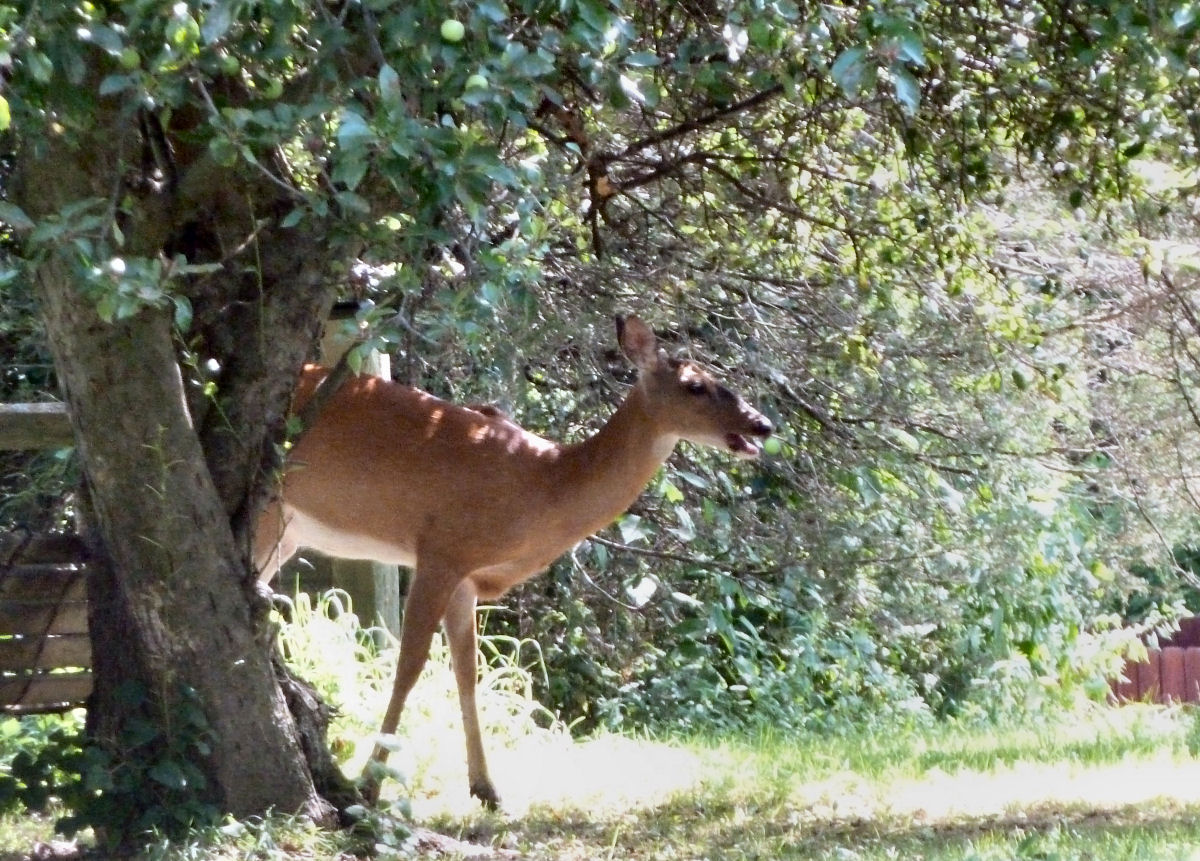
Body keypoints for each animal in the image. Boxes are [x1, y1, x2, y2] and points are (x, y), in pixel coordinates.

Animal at [256, 316, 772, 810]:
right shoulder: (441, 548)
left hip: (288, 532)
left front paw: (487, 788)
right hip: (270, 512)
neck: (543, 484)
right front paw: (370, 785)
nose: (762, 425)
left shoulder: (465, 577)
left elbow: (467, 670)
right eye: (695, 385)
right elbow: (410, 665)